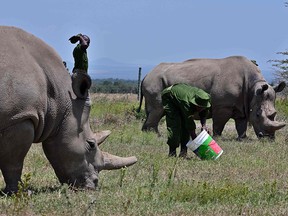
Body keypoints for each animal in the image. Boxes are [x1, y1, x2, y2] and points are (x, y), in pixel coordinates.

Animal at [0, 25, 137, 194]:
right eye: (91, 144)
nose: (92, 185)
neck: (59, 99)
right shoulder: (20, 117)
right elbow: (13, 162)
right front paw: (18, 192)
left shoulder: (15, 116)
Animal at [139, 55, 286, 140]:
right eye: (257, 115)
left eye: (274, 114)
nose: (268, 138)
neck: (254, 88)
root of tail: (146, 75)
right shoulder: (223, 106)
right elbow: (219, 123)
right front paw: (217, 138)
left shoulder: (243, 104)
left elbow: (241, 124)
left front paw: (242, 139)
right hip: (155, 81)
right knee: (158, 109)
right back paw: (156, 136)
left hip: (157, 81)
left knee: (154, 111)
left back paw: (148, 133)